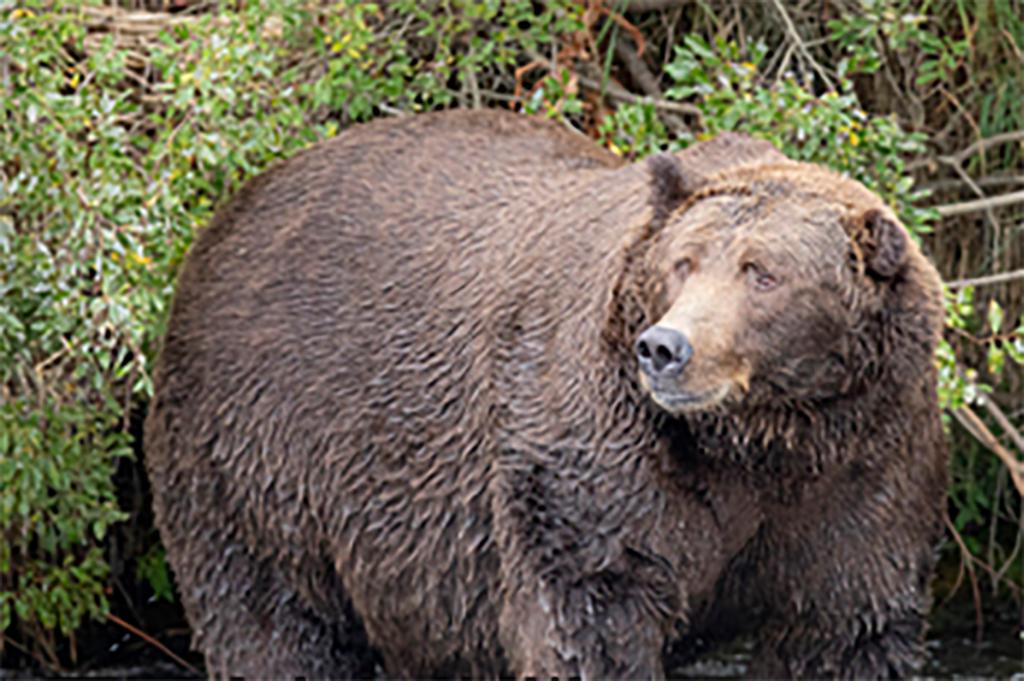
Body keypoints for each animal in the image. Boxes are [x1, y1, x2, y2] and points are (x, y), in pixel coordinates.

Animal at [144, 108, 948, 679]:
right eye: (684, 263)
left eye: (763, 272)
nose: (665, 348)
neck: (765, 438)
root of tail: (225, 217)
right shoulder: (601, 448)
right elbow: (592, 607)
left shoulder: (865, 465)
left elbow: (847, 622)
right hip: (261, 452)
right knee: (271, 620)